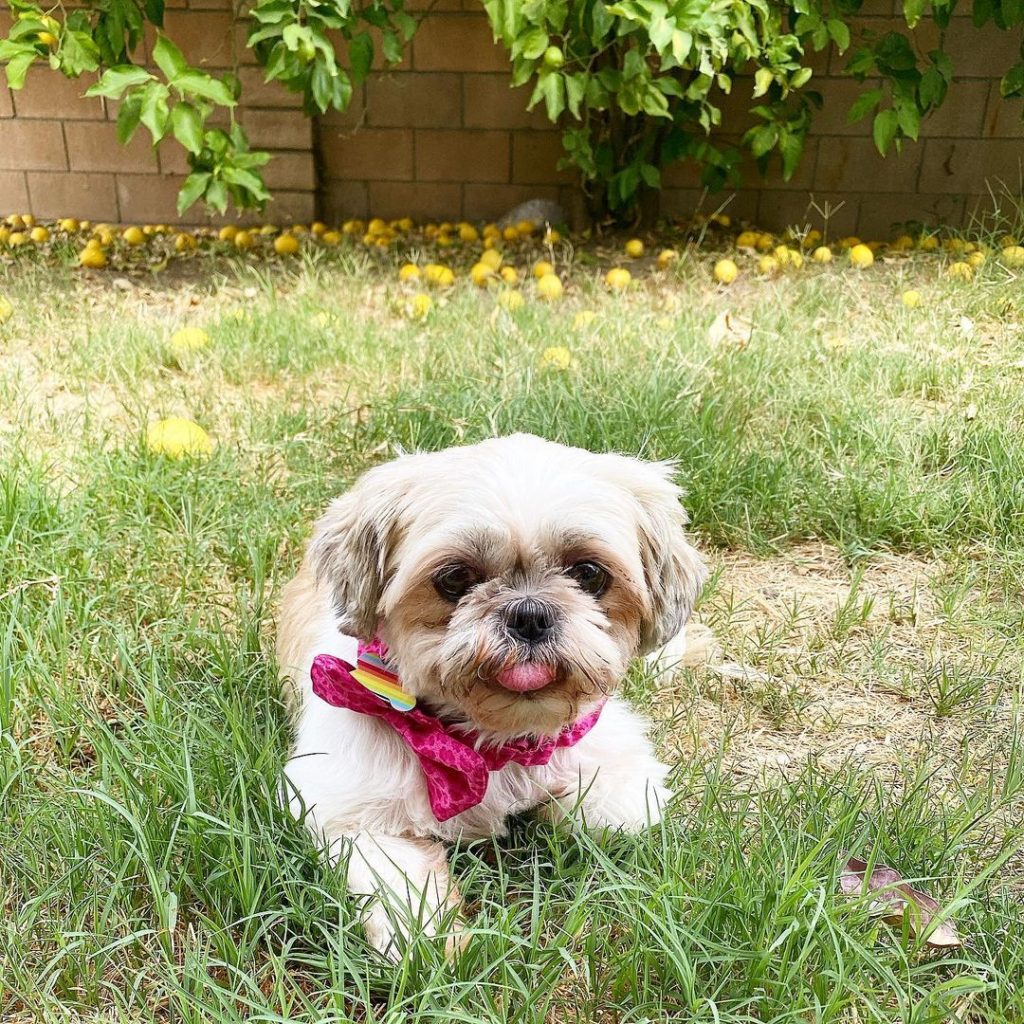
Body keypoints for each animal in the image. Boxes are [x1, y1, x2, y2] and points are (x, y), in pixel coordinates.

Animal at [278, 434, 712, 958]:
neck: (489, 744)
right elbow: (401, 890)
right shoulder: (349, 813)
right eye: (453, 579)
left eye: (589, 574)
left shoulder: (618, 769)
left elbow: (611, 815)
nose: (529, 613)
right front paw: (433, 943)